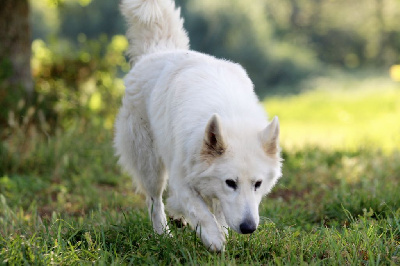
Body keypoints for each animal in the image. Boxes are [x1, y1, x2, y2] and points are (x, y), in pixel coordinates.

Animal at [113, 0, 282, 251]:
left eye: (258, 184)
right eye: (230, 183)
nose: (248, 228)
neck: (228, 113)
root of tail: (159, 50)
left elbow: (217, 211)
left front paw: (219, 231)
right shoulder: (181, 180)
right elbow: (200, 211)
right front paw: (214, 239)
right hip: (150, 164)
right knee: (155, 201)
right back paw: (163, 235)